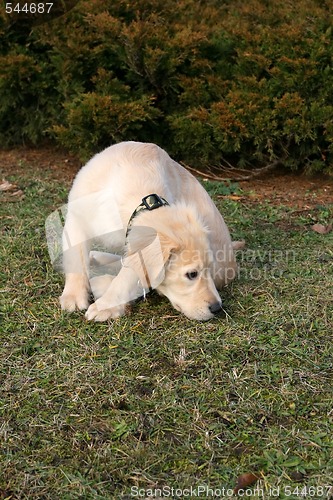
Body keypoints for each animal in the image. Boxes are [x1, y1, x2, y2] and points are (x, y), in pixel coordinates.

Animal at [59, 141, 240, 320]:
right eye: (192, 274)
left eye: (208, 267)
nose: (217, 307)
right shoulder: (76, 219)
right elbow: (75, 258)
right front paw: (73, 296)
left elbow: (127, 276)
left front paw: (106, 305)